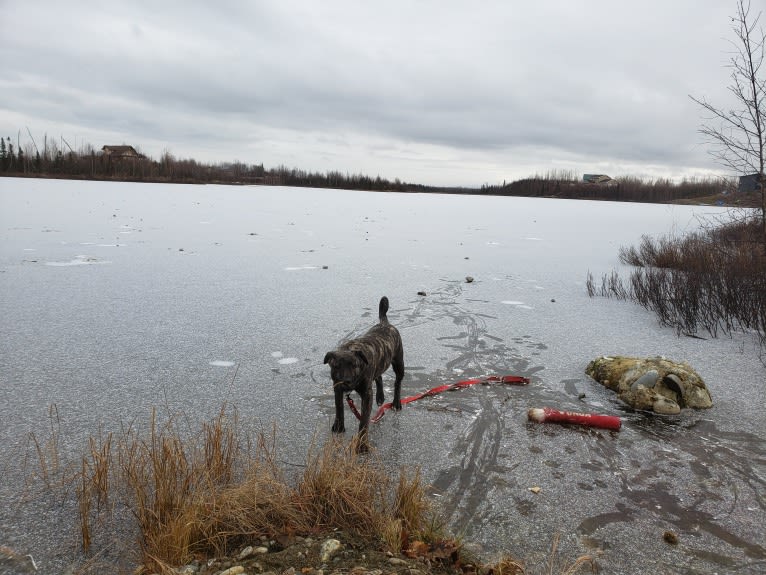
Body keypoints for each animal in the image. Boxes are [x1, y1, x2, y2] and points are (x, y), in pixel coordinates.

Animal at [326, 296, 408, 450]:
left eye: (355, 365)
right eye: (336, 366)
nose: (346, 380)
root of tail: (385, 322)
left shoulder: (366, 394)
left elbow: (364, 419)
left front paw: (362, 444)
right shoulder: (337, 387)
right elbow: (339, 407)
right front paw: (339, 426)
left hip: (399, 363)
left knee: (397, 382)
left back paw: (396, 402)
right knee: (379, 377)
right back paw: (380, 396)